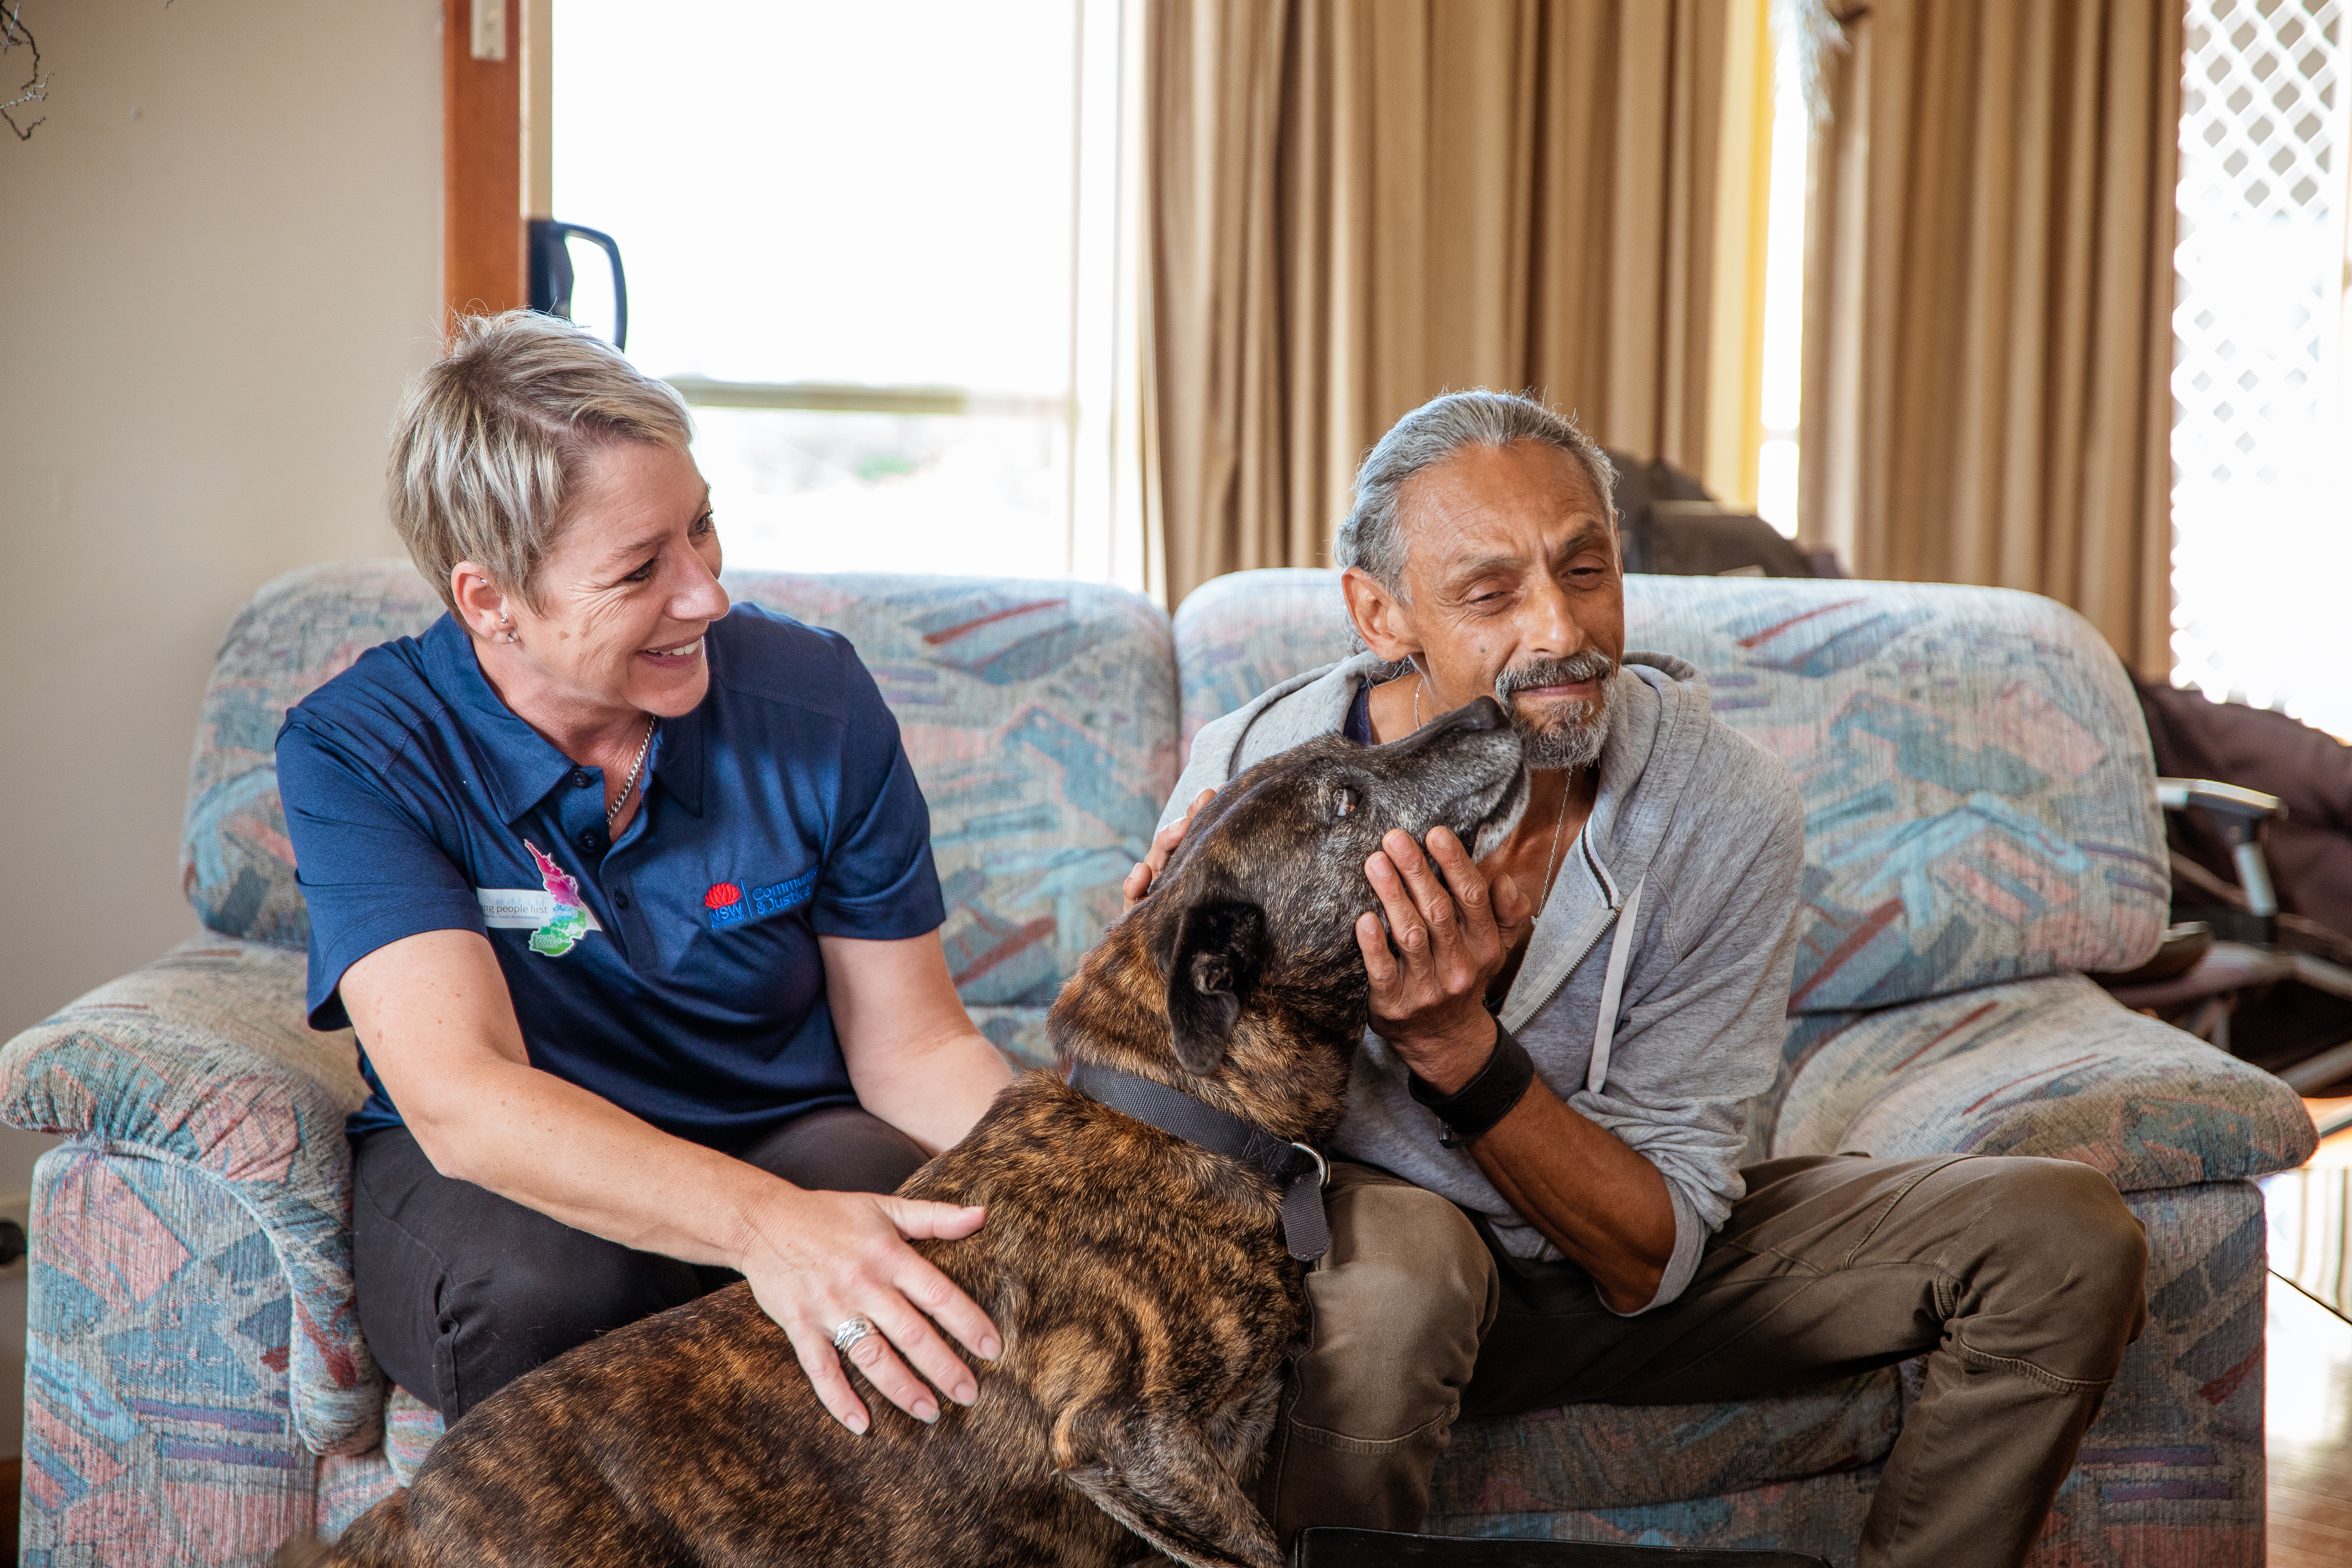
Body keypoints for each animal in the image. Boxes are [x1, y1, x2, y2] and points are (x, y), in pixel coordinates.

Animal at [285, 700, 1533, 1568]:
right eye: (1343, 806)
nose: (1490, 706)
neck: (1179, 1115)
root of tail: (404, 1508)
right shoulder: (1129, 1440)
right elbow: (1260, 1550)